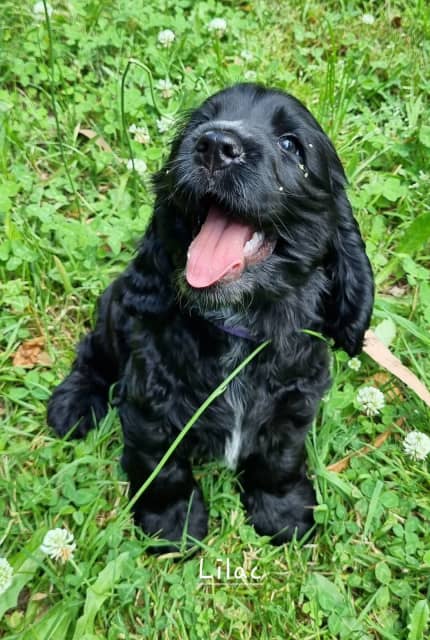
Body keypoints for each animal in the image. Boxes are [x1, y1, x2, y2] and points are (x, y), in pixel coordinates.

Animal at [48, 84, 374, 552]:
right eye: (197, 125)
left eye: (290, 145)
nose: (216, 145)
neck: (238, 321)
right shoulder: (149, 405)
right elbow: (162, 469)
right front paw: (172, 527)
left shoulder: (293, 405)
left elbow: (280, 460)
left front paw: (284, 513)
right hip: (113, 308)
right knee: (92, 352)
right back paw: (72, 404)